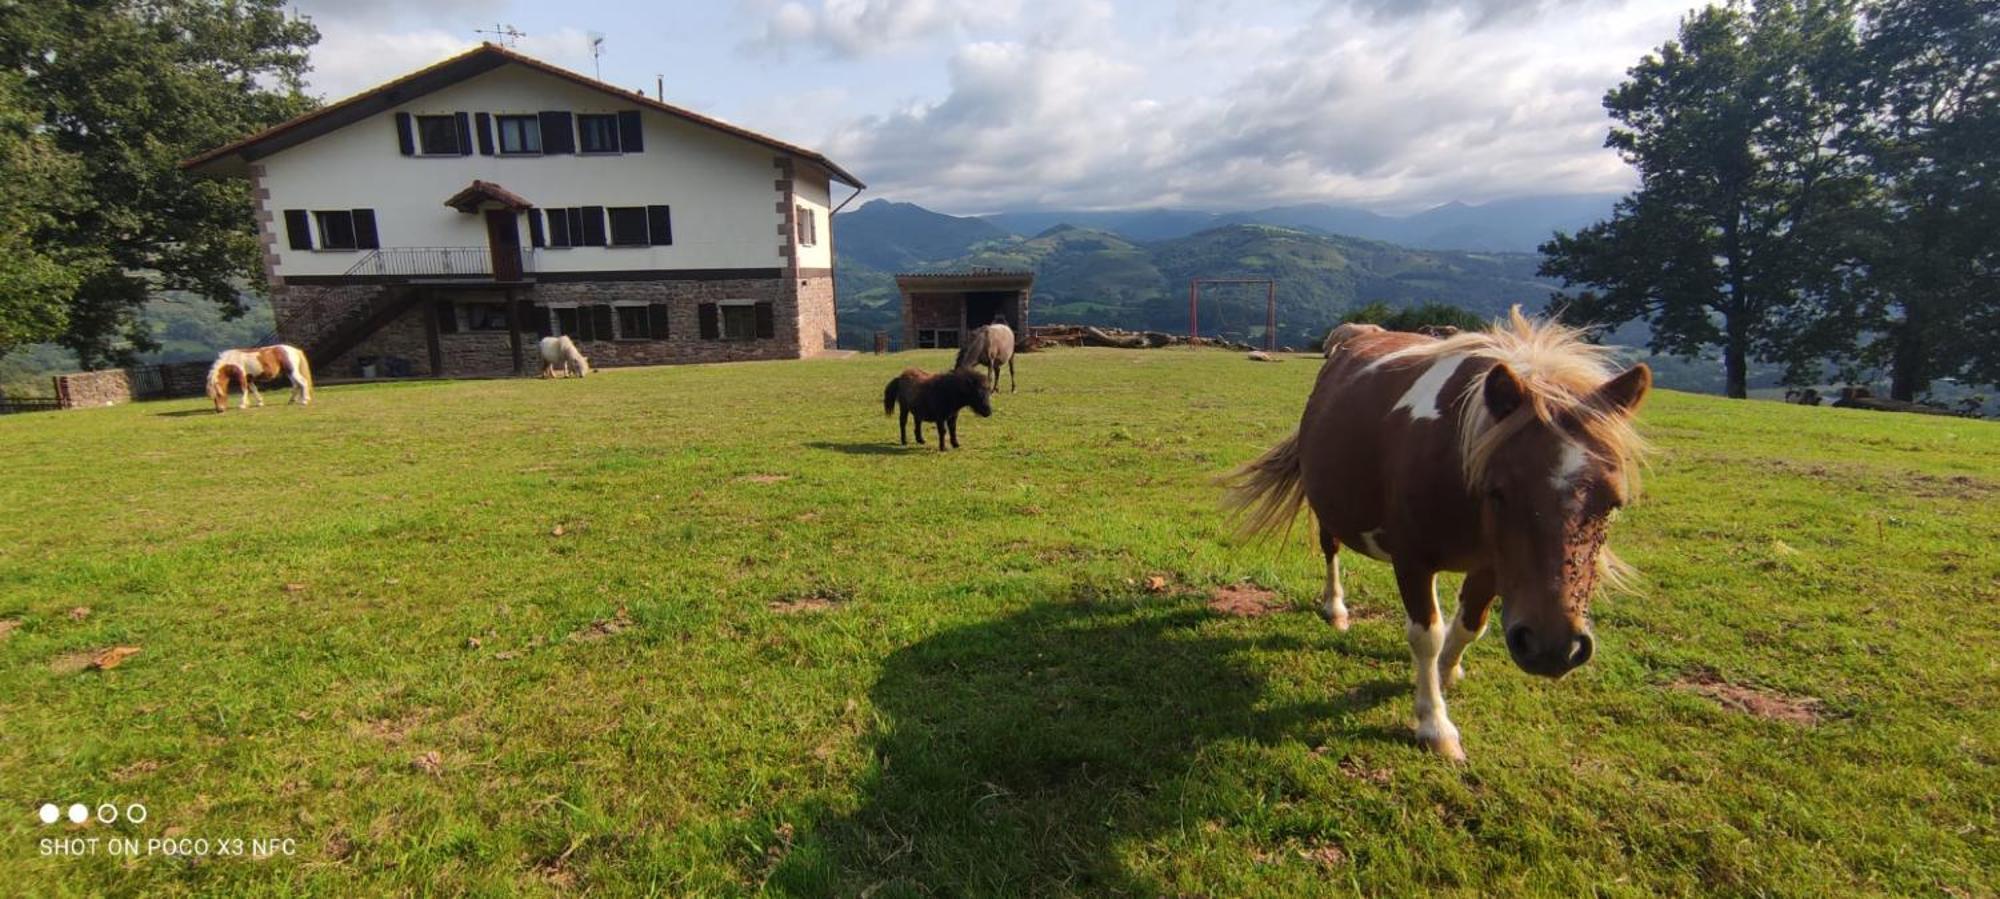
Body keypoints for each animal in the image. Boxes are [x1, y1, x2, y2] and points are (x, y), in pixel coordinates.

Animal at [1224, 307, 1648, 759]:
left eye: (1613, 502)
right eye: (1498, 491)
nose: (1553, 648)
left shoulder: (1492, 567)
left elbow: (1468, 626)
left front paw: (1447, 672)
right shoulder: (1411, 559)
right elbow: (1427, 634)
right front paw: (1434, 723)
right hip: (1329, 510)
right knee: (1331, 549)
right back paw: (1335, 608)